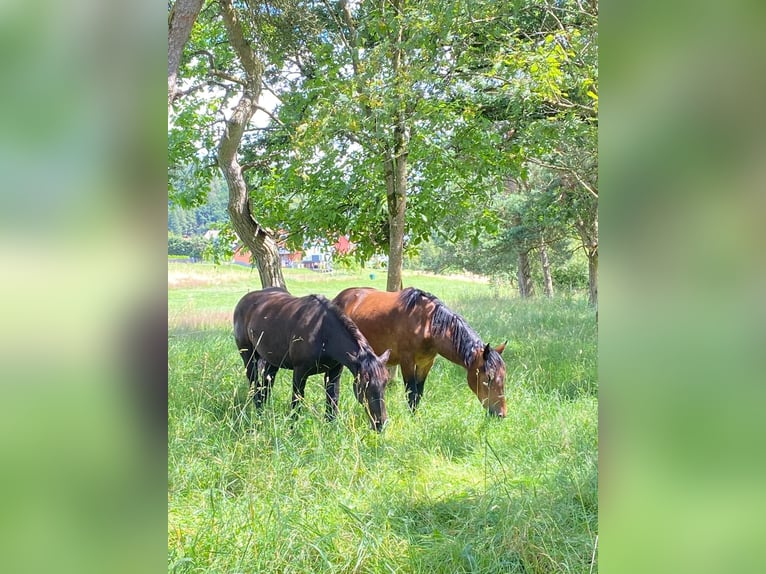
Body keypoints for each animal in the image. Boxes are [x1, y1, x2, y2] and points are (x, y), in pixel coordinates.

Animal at [232, 288, 390, 432]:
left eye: (385, 383)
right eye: (364, 385)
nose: (380, 423)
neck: (323, 332)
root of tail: (243, 301)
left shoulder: (334, 372)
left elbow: (332, 399)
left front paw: (331, 428)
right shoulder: (300, 372)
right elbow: (297, 400)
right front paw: (292, 429)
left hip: (271, 361)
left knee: (266, 385)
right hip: (249, 357)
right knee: (255, 384)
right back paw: (260, 415)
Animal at [336, 288, 510, 418]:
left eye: (503, 376)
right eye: (488, 378)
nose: (501, 414)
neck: (426, 323)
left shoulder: (426, 363)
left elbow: (418, 393)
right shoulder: (407, 361)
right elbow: (411, 393)